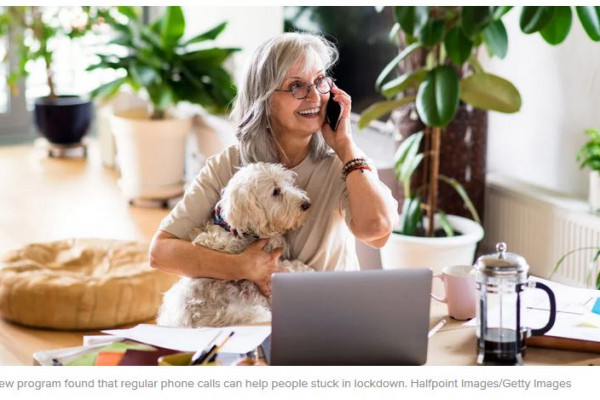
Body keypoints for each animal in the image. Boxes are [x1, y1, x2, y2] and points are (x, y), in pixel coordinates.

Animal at [155, 162, 314, 328]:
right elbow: (290, 267)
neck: (235, 229)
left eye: (287, 182)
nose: (307, 204)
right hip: (254, 313)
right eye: (275, 191)